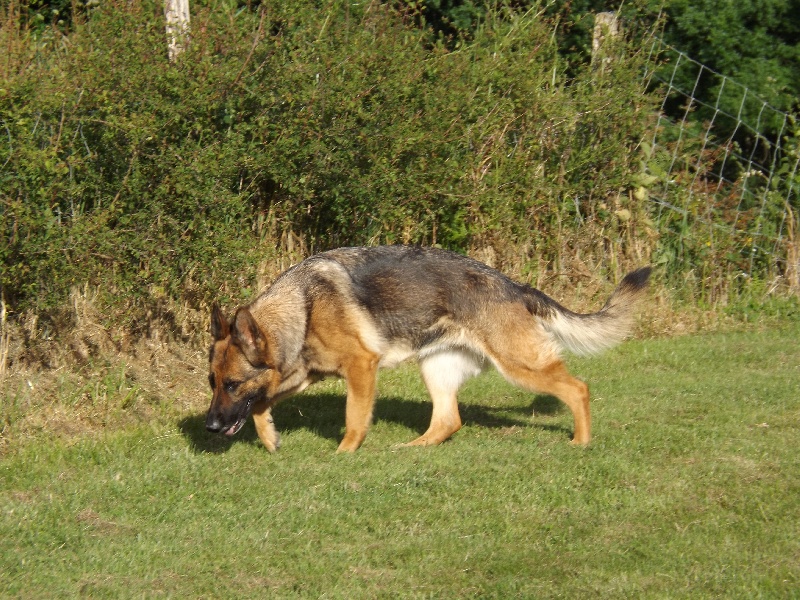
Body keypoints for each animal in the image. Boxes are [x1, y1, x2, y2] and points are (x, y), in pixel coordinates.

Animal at [206, 246, 648, 452]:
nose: (209, 427)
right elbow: (262, 405)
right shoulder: (302, 375)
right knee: (448, 422)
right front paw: (270, 439)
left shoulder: (360, 367)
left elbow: (353, 419)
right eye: (213, 383)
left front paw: (344, 454)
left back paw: (581, 442)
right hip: (436, 369)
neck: (303, 308)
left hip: (520, 366)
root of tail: (514, 286)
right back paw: (410, 449)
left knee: (578, 389)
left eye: (232, 384)